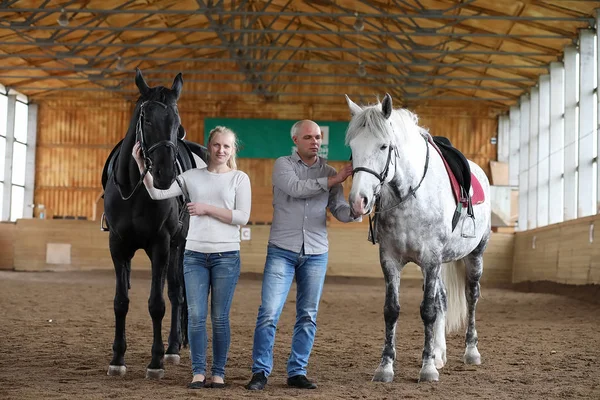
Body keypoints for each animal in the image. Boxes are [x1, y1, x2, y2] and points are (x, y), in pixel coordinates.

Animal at [102, 68, 207, 378]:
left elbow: (158, 303)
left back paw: (173, 348)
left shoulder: (161, 244)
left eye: (177, 123)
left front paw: (156, 360)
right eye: (146, 119)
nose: (165, 174)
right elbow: (121, 302)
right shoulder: (117, 246)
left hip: (179, 246)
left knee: (176, 292)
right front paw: (117, 358)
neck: (135, 189)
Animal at [344, 92, 490, 382]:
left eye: (384, 146)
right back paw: (440, 353)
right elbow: (392, 310)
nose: (358, 201)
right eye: (352, 148)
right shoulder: (390, 260)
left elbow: (428, 311)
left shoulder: (431, 260)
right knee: (443, 298)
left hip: (474, 255)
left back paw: (471, 352)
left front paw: (427, 368)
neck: (409, 196)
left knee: (471, 296)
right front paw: (386, 367)